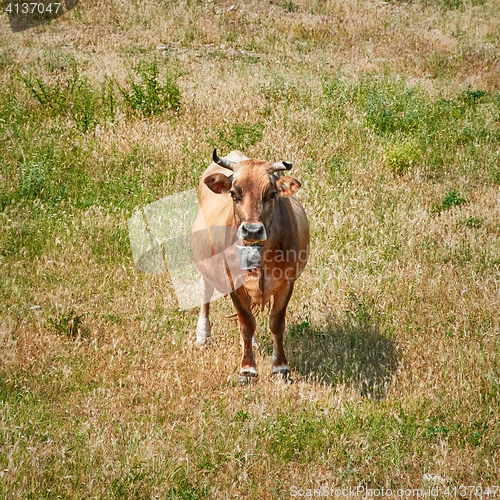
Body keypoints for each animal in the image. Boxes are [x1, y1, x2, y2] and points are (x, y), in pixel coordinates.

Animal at [191, 148, 308, 382]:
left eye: (271, 194)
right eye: (234, 193)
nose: (252, 230)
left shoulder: (287, 283)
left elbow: (276, 323)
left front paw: (280, 367)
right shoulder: (233, 283)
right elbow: (246, 324)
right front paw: (247, 369)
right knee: (206, 294)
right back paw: (203, 335)